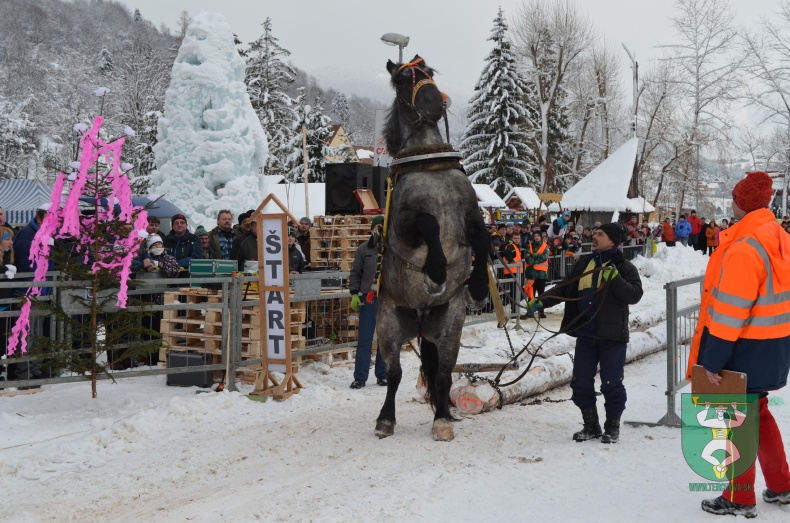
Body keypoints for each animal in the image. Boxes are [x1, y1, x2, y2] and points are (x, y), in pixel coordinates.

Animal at [376, 56, 492, 442]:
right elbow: (428, 224)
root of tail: (421, 317)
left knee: (442, 374)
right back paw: (385, 419)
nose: (432, 102)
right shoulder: (405, 224)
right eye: (401, 79)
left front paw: (479, 285)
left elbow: (484, 238)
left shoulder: (470, 214)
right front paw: (437, 271)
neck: (430, 164)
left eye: (428, 72)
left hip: (449, 326)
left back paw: (442, 417)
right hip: (389, 325)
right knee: (394, 374)